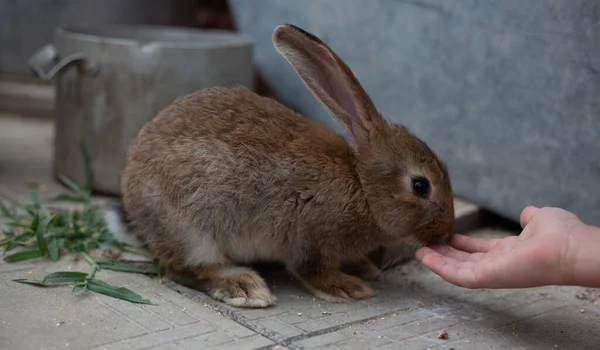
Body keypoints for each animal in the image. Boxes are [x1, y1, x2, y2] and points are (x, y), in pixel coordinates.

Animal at [119, 23, 452, 308]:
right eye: (420, 186)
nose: (446, 233)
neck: (362, 186)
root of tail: (130, 190)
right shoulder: (312, 237)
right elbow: (312, 270)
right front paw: (349, 288)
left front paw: (365, 268)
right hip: (194, 229)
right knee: (187, 269)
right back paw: (245, 287)